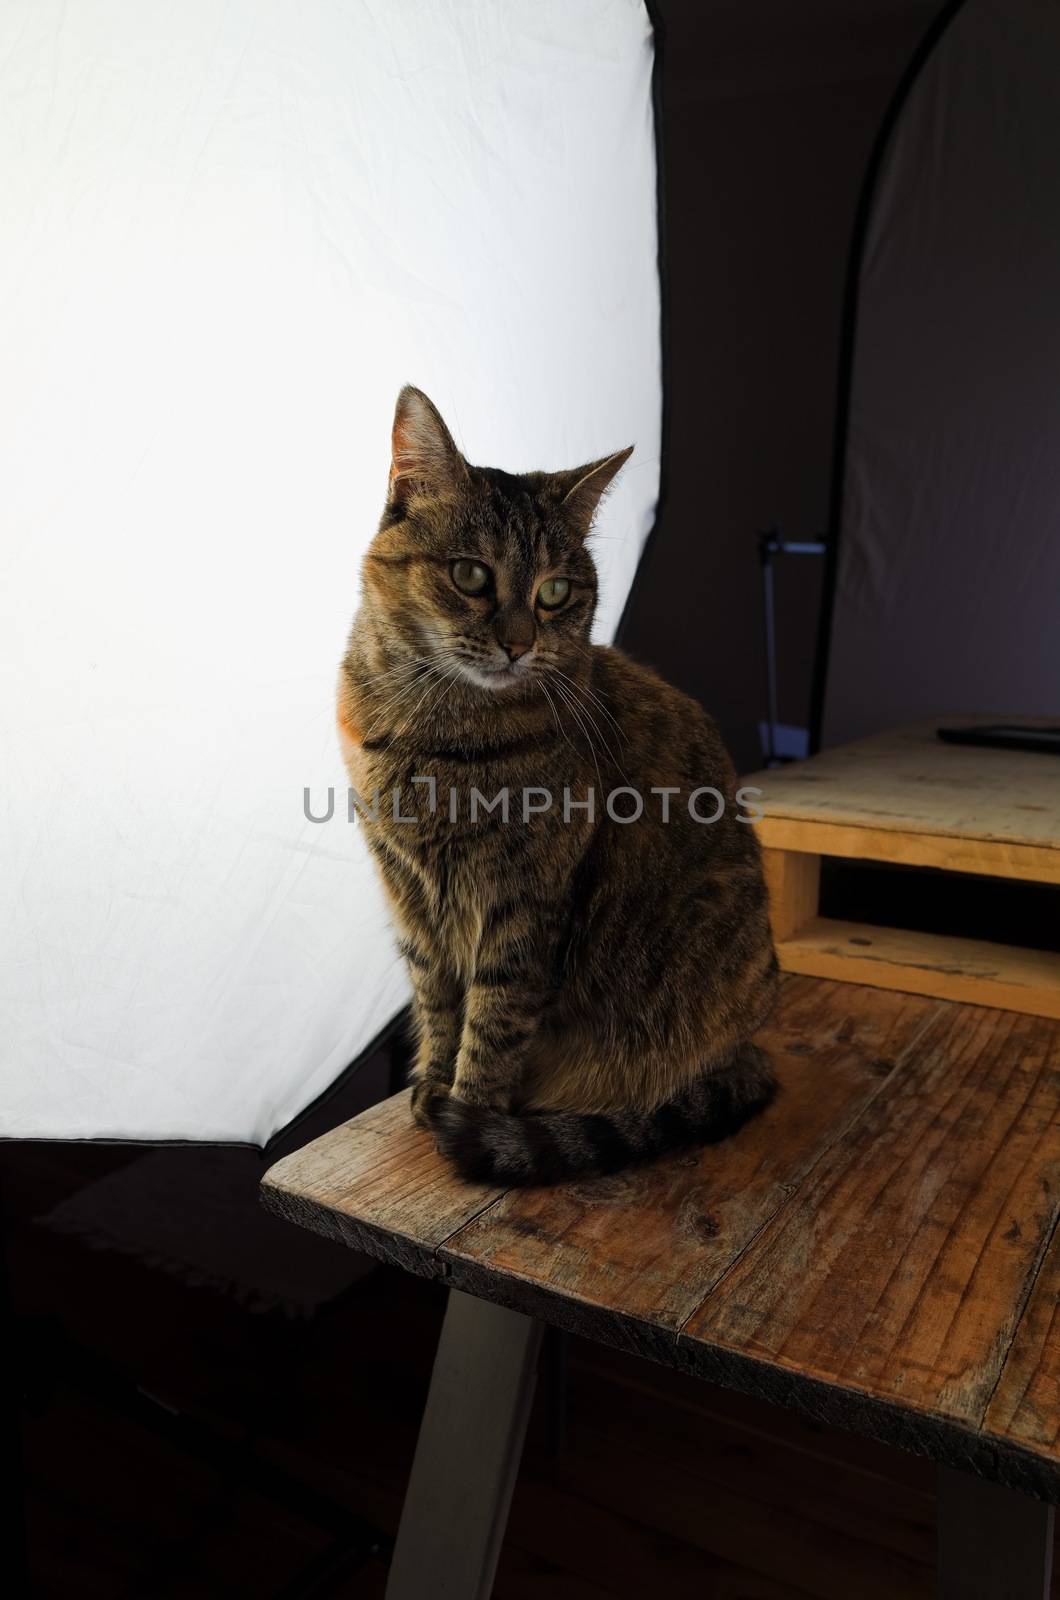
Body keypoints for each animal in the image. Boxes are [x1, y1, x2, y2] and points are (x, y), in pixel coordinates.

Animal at [341, 384, 781, 1190]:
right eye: (471, 575)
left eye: (555, 592)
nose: (520, 643)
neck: (434, 734)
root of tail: (749, 1051)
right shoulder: (410, 893)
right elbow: (439, 1002)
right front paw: (432, 1086)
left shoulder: (526, 900)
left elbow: (493, 1020)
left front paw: (467, 1113)